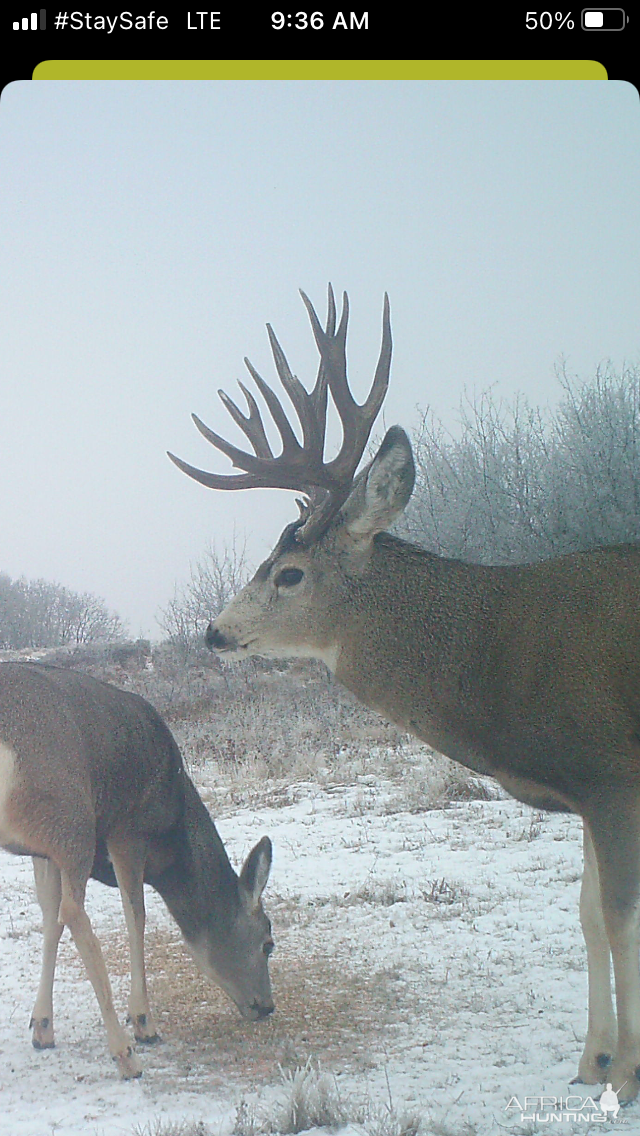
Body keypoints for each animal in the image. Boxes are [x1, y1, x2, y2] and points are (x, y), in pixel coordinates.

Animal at [0, 663, 272, 1076]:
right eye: (269, 944)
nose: (267, 1006)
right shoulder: (128, 831)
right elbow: (135, 917)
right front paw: (143, 1020)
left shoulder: (43, 851)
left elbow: (49, 920)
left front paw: (42, 1026)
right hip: (74, 819)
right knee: (76, 913)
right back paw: (125, 1053)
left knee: (64, 913)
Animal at [169, 284, 640, 1099]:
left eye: (289, 573)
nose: (215, 632)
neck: (497, 662)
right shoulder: (589, 789)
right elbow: (588, 915)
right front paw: (593, 1062)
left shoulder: (614, 772)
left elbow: (619, 919)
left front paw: (629, 1071)